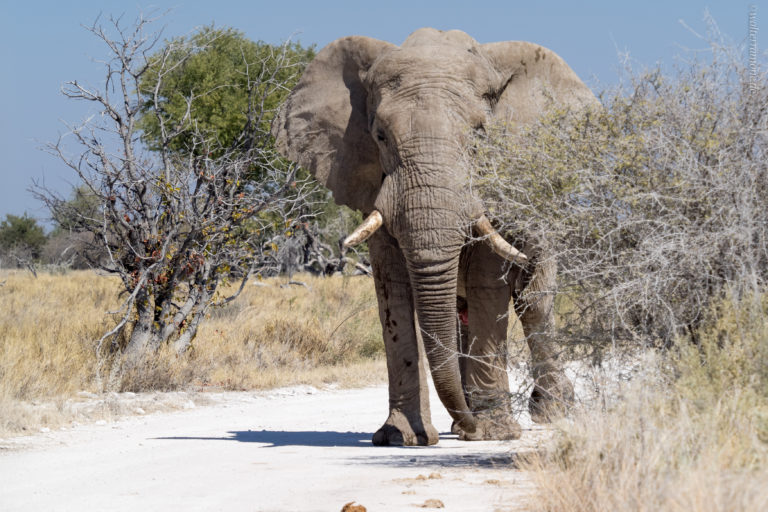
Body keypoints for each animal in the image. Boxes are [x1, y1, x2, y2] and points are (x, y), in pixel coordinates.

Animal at [272, 27, 596, 444]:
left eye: (479, 137)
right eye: (380, 136)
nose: (471, 427)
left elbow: (489, 280)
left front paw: (495, 433)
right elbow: (392, 288)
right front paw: (399, 437)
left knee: (533, 300)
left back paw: (547, 414)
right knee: (462, 312)